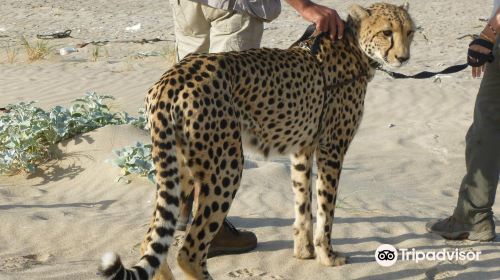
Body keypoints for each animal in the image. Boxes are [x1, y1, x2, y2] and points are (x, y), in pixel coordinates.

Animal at [98, 2, 414, 280]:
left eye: (409, 31)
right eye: (387, 32)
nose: (403, 58)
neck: (354, 45)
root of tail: (170, 78)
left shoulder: (302, 149)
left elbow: (302, 203)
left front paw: (304, 252)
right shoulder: (331, 149)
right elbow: (326, 209)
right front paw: (327, 256)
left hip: (180, 166)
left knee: (152, 239)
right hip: (226, 165)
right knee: (189, 251)